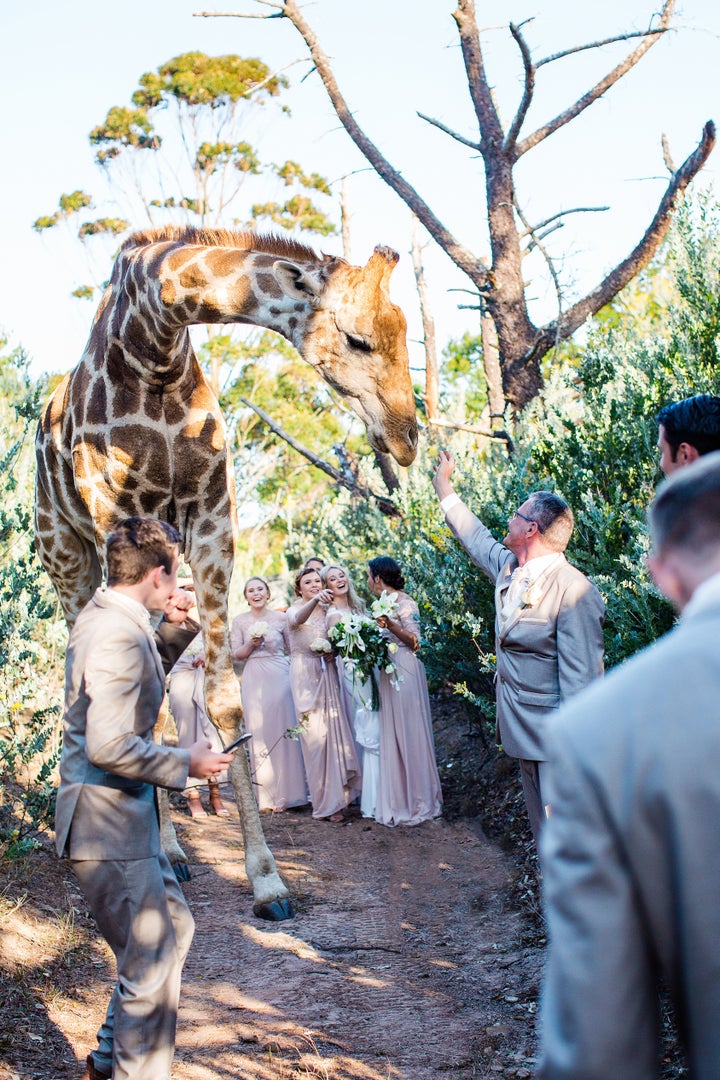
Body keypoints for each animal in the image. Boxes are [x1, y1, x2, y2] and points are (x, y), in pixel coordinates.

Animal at [35, 225, 416, 920]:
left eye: (401, 328)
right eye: (357, 338)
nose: (407, 438)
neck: (153, 339)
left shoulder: (212, 518)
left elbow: (222, 697)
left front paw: (267, 880)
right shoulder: (115, 519)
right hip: (65, 554)